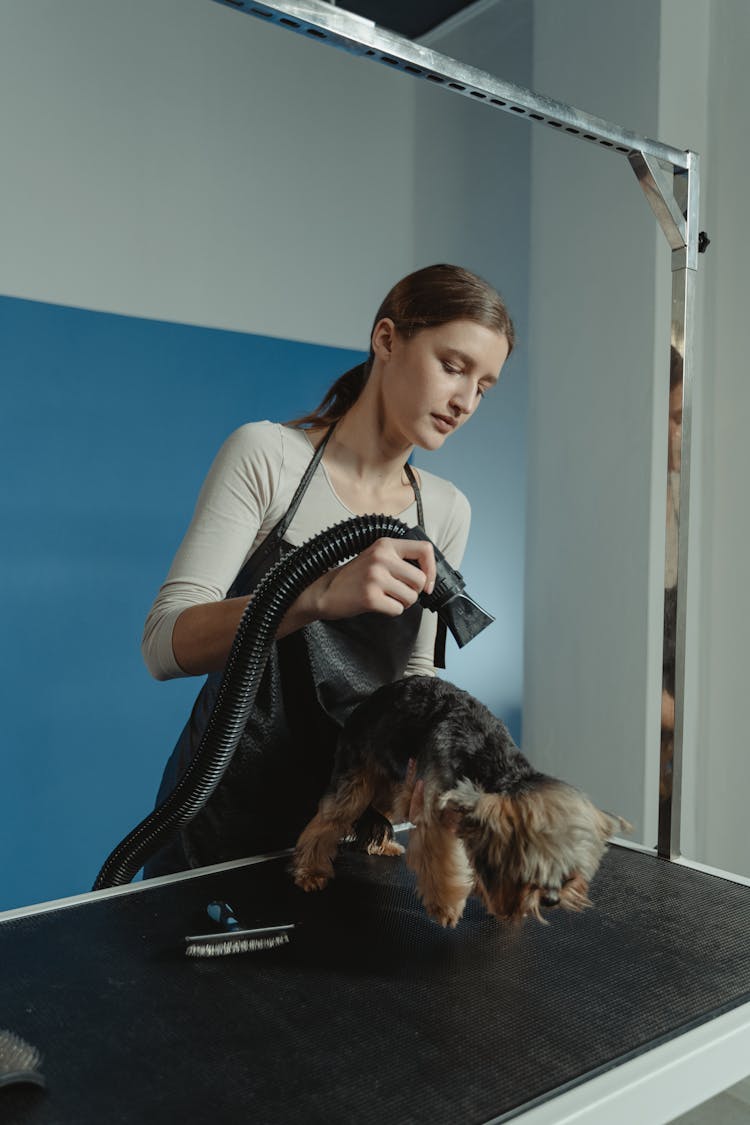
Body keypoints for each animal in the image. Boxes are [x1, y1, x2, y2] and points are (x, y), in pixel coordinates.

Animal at [292, 675, 629, 922]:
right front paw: (446, 908)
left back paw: (380, 845)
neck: (492, 762)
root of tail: (362, 705)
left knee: (378, 810)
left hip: (393, 782)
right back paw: (310, 871)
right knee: (330, 818)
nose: (551, 899)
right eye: (529, 862)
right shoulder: (434, 813)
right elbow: (440, 859)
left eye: (568, 861)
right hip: (357, 772)